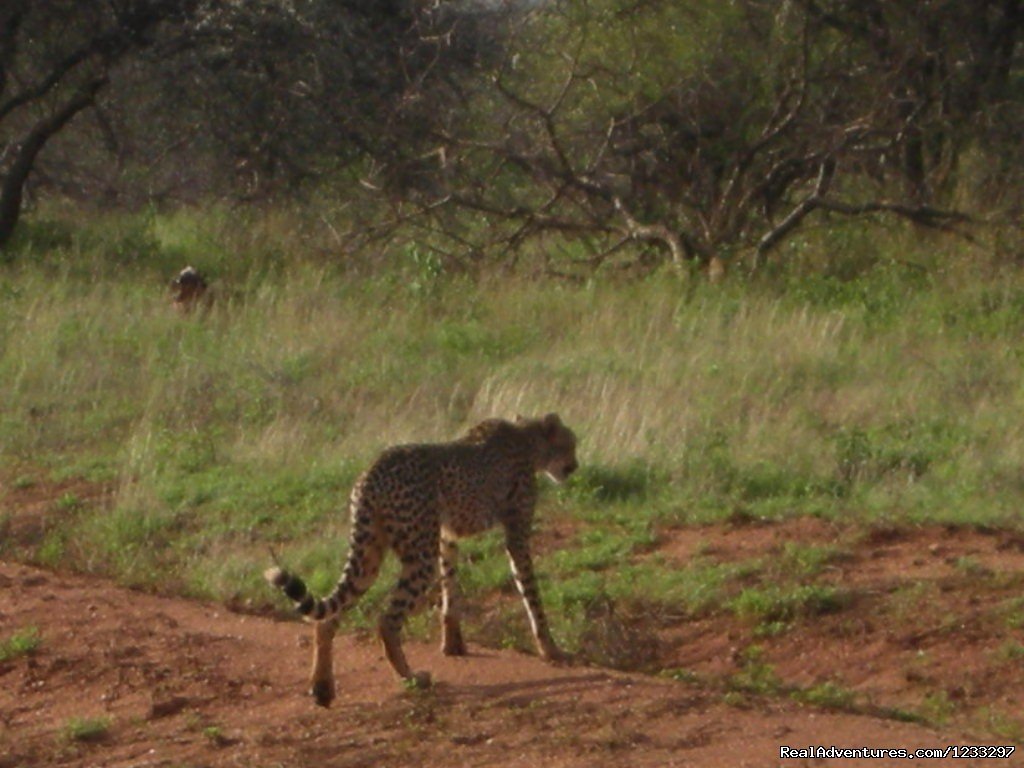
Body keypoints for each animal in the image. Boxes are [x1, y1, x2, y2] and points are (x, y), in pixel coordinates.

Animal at [266, 417, 577, 708]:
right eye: (570, 444)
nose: (575, 465)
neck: (528, 440)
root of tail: (371, 472)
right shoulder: (515, 535)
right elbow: (532, 595)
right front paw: (552, 650)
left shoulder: (446, 536)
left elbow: (450, 588)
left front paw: (453, 644)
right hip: (419, 559)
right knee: (387, 621)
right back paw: (411, 677)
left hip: (370, 555)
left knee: (328, 618)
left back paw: (323, 688)